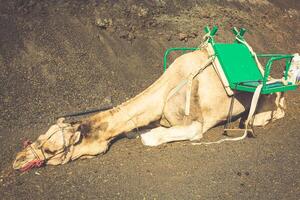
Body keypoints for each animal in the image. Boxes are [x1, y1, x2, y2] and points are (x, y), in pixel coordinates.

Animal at [13, 48, 286, 170]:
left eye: (52, 149)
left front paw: (146, 134)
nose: (17, 160)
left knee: (277, 108)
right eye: (40, 136)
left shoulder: (195, 126)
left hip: (271, 95)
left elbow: (152, 137)